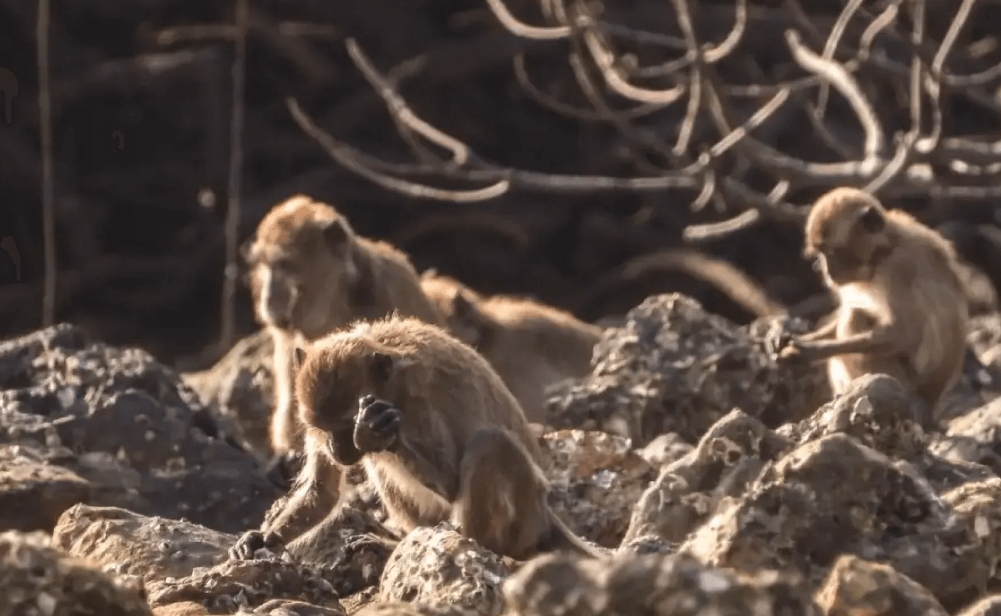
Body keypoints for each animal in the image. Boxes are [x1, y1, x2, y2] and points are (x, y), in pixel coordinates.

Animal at [230, 316, 596, 560]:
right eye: (322, 428)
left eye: (345, 427)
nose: (335, 448)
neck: (390, 383)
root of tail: (544, 514)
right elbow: (324, 490)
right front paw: (263, 539)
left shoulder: (418, 402)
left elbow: (451, 481)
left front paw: (373, 432)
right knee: (382, 466)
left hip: (522, 514)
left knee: (490, 443)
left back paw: (476, 545)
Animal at [780, 185, 968, 422]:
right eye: (820, 254)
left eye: (832, 252)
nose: (826, 271)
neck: (885, 249)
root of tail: (931, 401)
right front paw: (795, 340)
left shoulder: (899, 268)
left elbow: (903, 335)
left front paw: (811, 351)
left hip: (901, 382)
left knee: (854, 317)